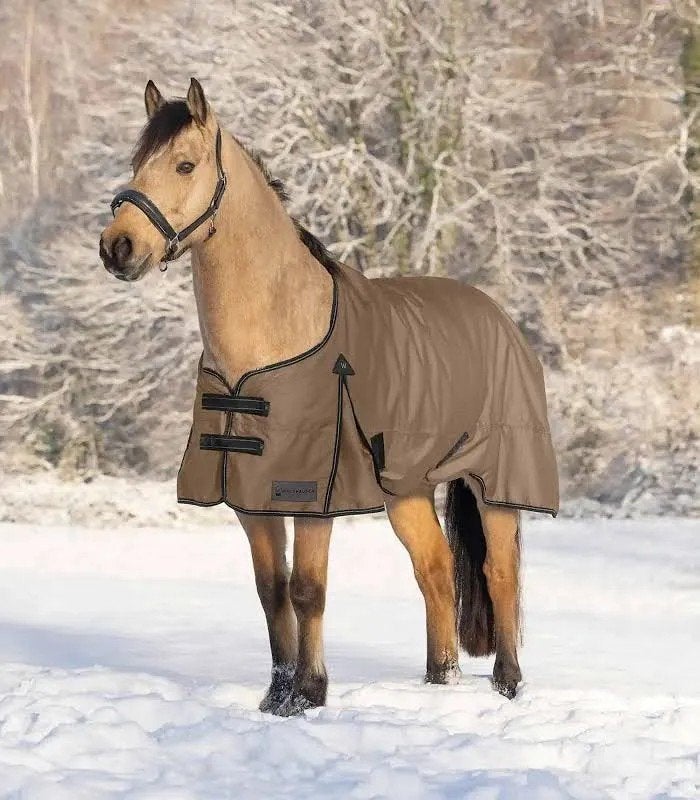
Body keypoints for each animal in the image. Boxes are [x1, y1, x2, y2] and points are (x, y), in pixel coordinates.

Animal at [99, 79, 558, 716]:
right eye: (136, 164)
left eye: (184, 164)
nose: (117, 247)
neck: (273, 337)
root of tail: (500, 318)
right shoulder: (251, 498)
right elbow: (271, 591)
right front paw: (276, 695)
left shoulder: (314, 492)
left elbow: (307, 588)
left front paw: (310, 693)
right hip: (408, 489)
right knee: (435, 569)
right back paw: (440, 680)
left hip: (497, 481)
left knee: (499, 573)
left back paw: (508, 684)